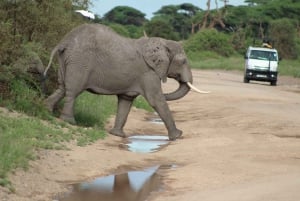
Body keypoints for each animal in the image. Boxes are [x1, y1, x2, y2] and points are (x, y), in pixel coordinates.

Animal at [44, 23, 209, 140]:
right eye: (183, 61)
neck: (161, 42)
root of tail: (64, 42)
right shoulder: (148, 72)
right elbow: (156, 99)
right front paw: (178, 135)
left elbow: (126, 100)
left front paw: (117, 135)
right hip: (79, 61)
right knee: (73, 90)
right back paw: (68, 121)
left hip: (67, 59)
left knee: (63, 87)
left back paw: (47, 110)